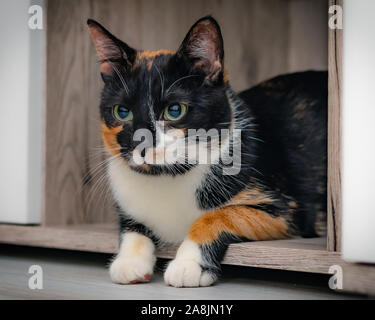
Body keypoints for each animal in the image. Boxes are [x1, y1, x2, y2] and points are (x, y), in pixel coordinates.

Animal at [87, 15, 326, 288]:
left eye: (174, 110)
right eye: (122, 112)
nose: (142, 144)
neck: (168, 178)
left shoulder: (285, 210)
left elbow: (220, 215)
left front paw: (187, 264)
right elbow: (131, 227)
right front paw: (129, 262)